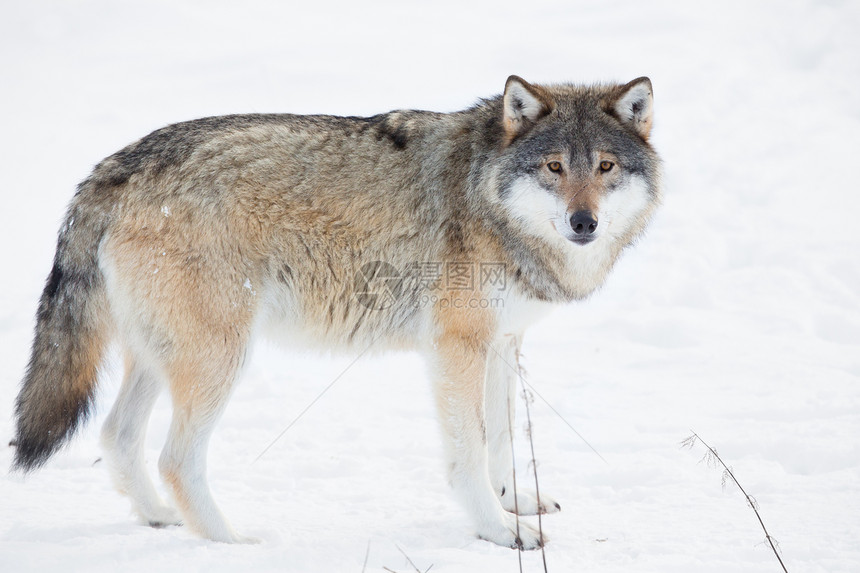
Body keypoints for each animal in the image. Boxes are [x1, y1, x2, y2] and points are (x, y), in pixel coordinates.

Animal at [11, 73, 660, 548]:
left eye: (605, 166)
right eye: (554, 167)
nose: (584, 223)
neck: (487, 199)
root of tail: (111, 168)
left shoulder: (502, 343)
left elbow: (502, 439)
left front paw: (515, 504)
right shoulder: (457, 346)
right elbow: (471, 450)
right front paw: (498, 532)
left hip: (160, 356)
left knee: (118, 436)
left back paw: (158, 518)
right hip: (220, 357)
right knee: (175, 457)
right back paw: (231, 543)